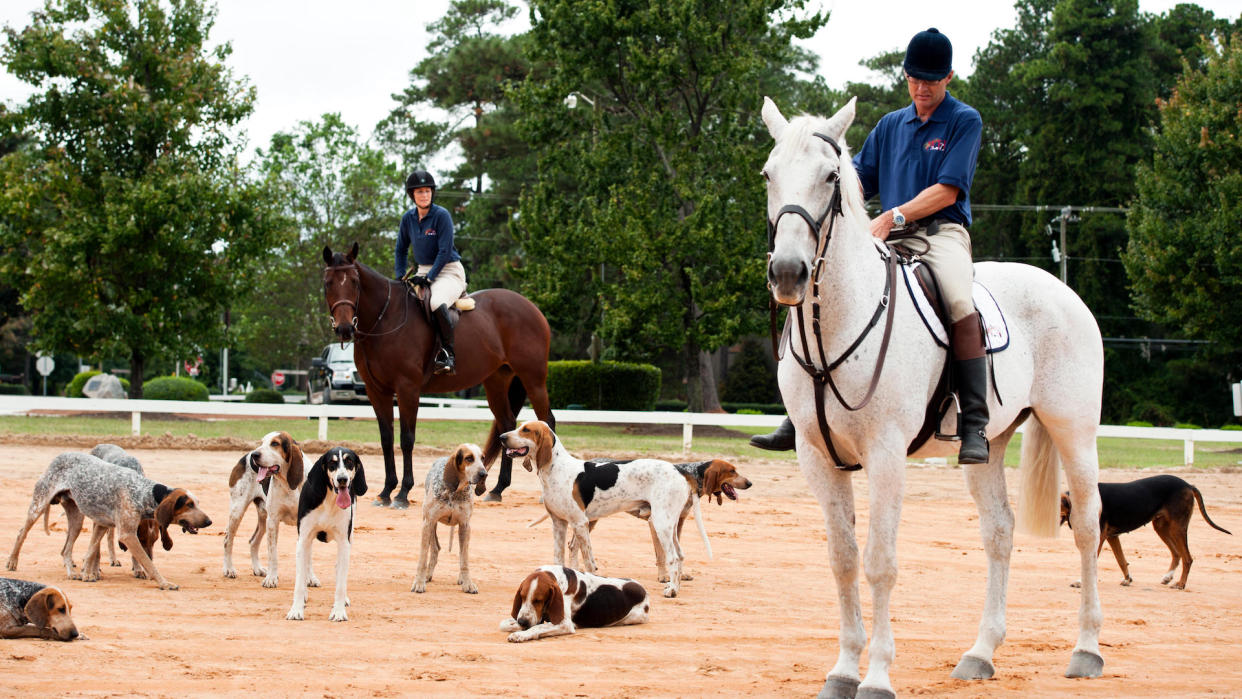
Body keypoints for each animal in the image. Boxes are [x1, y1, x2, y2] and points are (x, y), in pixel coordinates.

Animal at [322, 243, 556, 506]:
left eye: (354, 282)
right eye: (327, 283)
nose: (344, 328)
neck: (385, 320)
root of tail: (531, 307)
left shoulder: (407, 389)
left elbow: (406, 439)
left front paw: (402, 493)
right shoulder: (377, 391)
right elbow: (386, 439)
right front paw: (385, 492)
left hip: (533, 379)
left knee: (547, 422)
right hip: (496, 381)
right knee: (506, 424)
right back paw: (497, 490)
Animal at [765, 95, 1107, 695]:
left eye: (830, 177)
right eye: (767, 175)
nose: (788, 273)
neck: (841, 320)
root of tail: (1059, 287)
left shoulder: (886, 456)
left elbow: (879, 561)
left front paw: (877, 675)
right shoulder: (817, 458)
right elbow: (843, 560)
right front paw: (843, 670)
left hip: (1074, 432)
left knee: (1088, 525)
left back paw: (1086, 649)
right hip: (989, 445)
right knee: (999, 532)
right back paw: (980, 654)